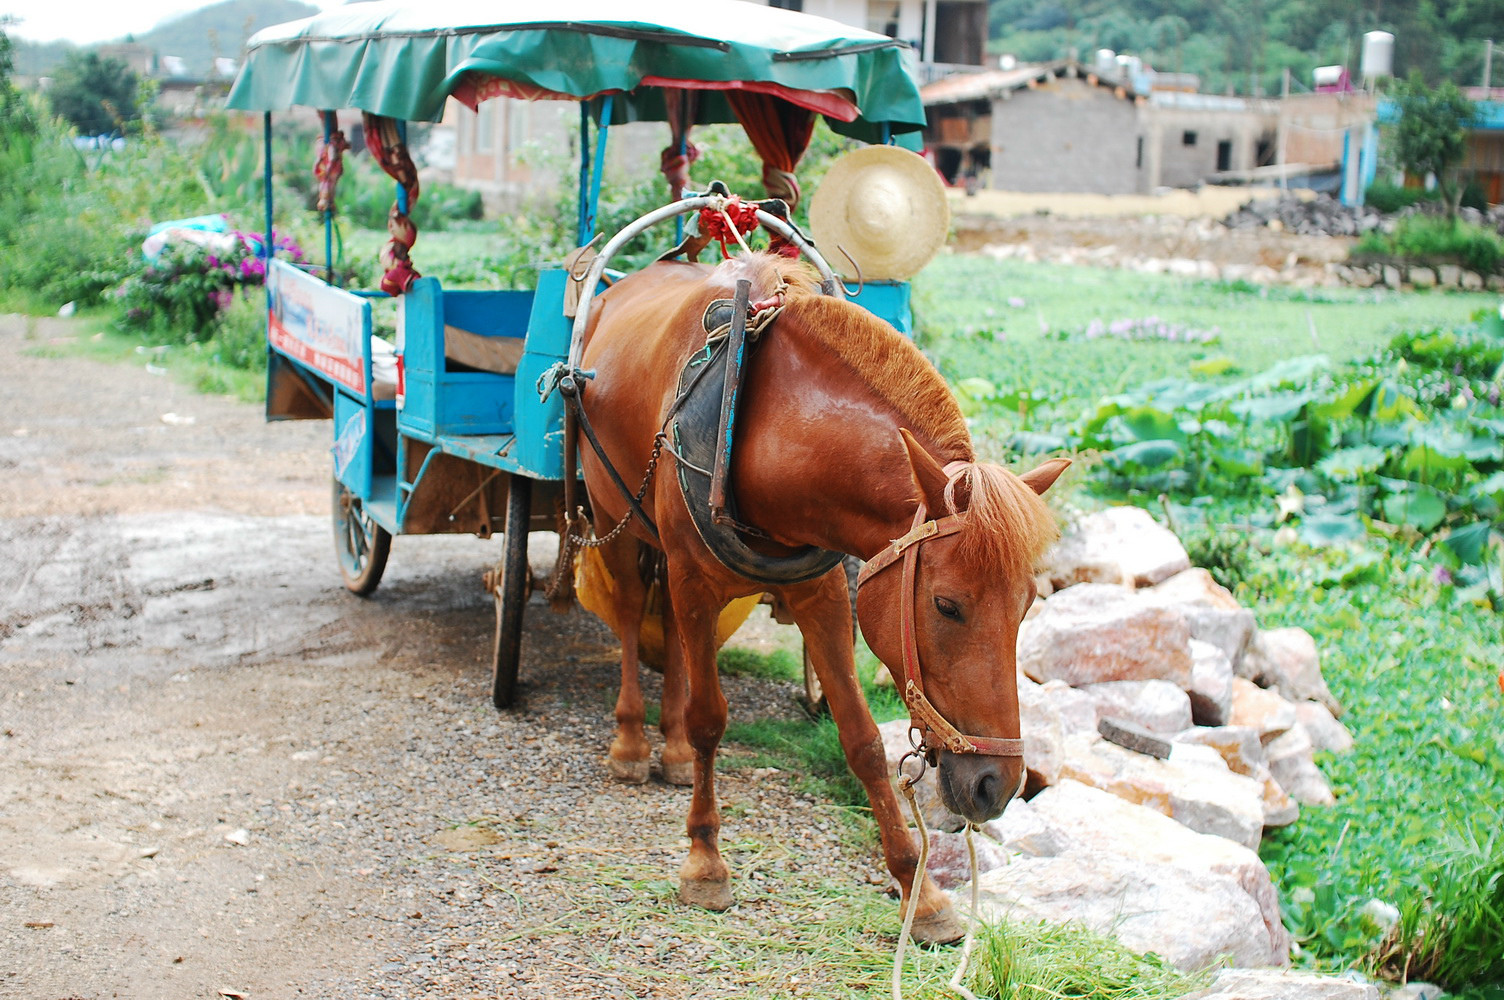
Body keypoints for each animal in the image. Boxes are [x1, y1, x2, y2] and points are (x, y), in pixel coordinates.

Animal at [568, 254, 1064, 938]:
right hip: (614, 518)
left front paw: (920, 894)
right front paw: (705, 861)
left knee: (666, 628)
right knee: (626, 618)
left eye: (1026, 607)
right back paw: (633, 741)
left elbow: (861, 738)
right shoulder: (697, 580)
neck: (759, 429)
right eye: (947, 605)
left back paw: (669, 748)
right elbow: (709, 719)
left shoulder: (821, 594)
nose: (999, 783)